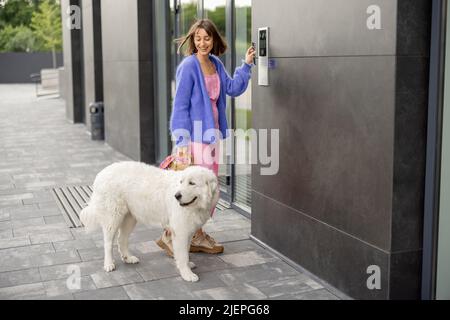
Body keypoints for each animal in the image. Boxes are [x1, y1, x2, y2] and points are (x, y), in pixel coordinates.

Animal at [79, 162, 220, 282]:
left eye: (192, 183)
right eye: (181, 182)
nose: (176, 196)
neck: (197, 206)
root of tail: (101, 173)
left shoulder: (188, 231)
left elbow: (186, 251)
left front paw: (187, 266)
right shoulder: (181, 232)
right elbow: (183, 254)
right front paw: (187, 274)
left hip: (130, 218)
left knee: (121, 239)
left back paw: (128, 258)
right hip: (113, 217)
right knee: (108, 243)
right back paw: (109, 264)